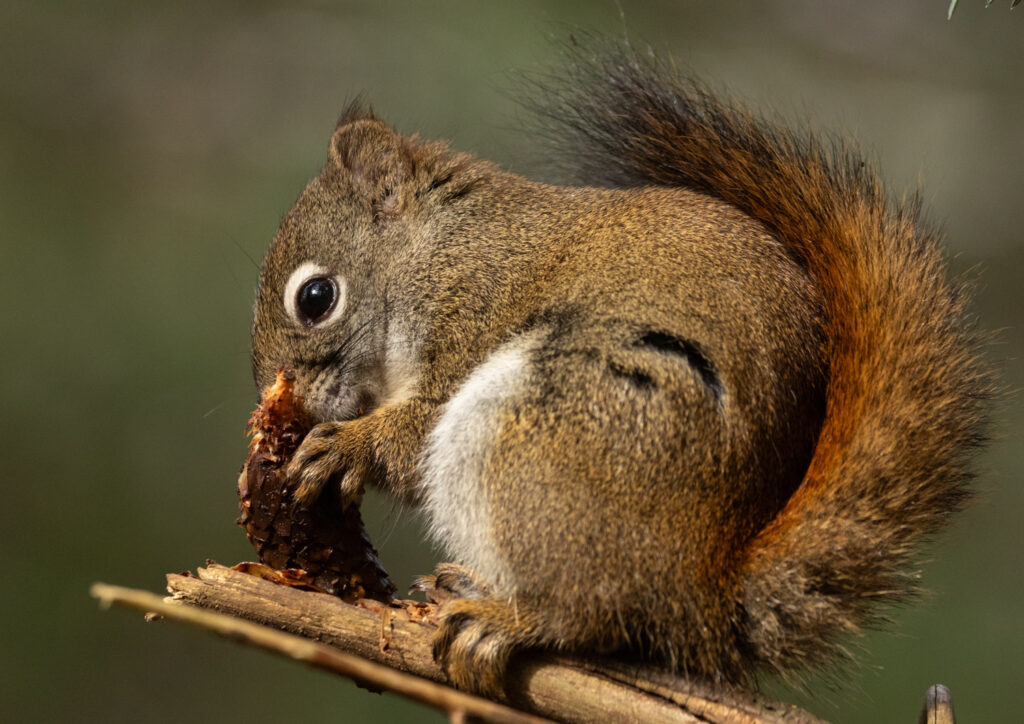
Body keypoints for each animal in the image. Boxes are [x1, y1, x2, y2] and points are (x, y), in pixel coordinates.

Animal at [243, 46, 987, 696]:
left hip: (543, 429)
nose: (286, 398)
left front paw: (346, 446)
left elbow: (415, 429)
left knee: (593, 614)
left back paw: (506, 619)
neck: (436, 249)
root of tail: (699, 594)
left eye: (316, 297)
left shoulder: (473, 311)